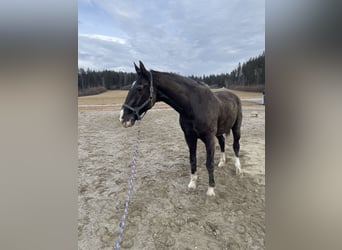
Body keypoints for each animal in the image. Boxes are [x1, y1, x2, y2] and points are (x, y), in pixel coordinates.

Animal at [120, 61, 243, 196]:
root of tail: (234, 95)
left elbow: (209, 163)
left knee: (236, 146)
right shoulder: (189, 137)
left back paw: (238, 169)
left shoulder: (209, 137)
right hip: (218, 132)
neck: (195, 105)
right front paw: (193, 183)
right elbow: (192, 159)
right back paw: (222, 162)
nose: (123, 117)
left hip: (236, 128)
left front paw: (211, 189)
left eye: (140, 88)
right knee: (222, 141)